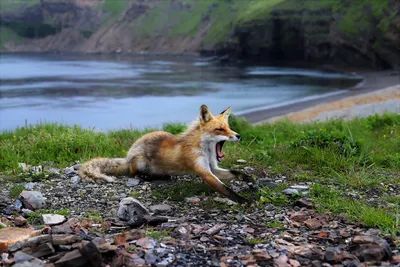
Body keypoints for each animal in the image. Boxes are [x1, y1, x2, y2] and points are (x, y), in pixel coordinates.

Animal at [78, 104, 250, 203]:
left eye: (228, 127)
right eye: (219, 129)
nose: (238, 136)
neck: (206, 152)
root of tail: (128, 154)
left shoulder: (213, 168)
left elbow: (235, 172)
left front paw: (249, 180)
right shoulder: (204, 171)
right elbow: (225, 189)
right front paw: (243, 200)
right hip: (140, 163)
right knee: (133, 173)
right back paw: (147, 176)